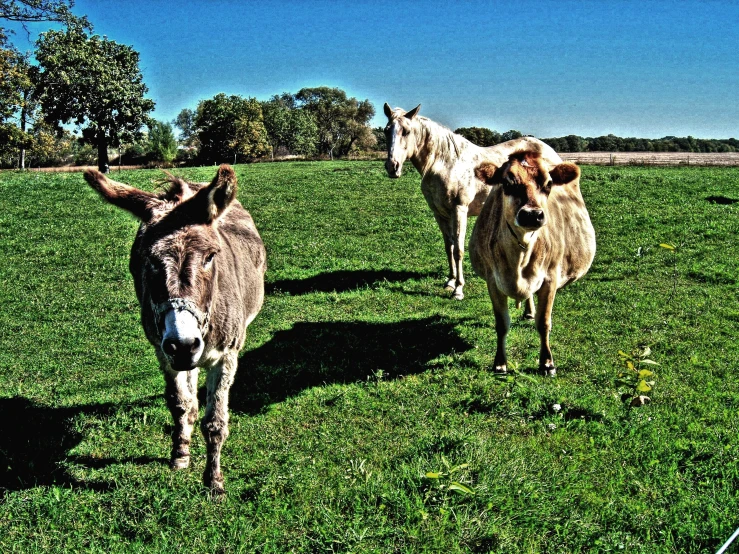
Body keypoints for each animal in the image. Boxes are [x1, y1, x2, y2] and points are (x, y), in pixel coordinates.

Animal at [83, 164, 266, 496]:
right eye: (148, 259)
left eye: (210, 256)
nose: (183, 345)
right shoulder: (163, 351)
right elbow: (181, 405)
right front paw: (180, 456)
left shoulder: (226, 356)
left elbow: (215, 421)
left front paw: (214, 482)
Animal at [384, 103, 564, 302]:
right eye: (386, 131)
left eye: (406, 131)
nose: (392, 167)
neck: (445, 163)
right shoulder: (440, 214)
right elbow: (449, 247)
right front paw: (450, 281)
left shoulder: (459, 210)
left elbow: (458, 250)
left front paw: (458, 289)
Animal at [472, 151, 600, 376]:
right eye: (507, 183)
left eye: (548, 184)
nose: (532, 214)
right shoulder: (492, 280)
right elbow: (502, 324)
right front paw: (500, 363)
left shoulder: (550, 279)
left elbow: (544, 323)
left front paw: (547, 363)